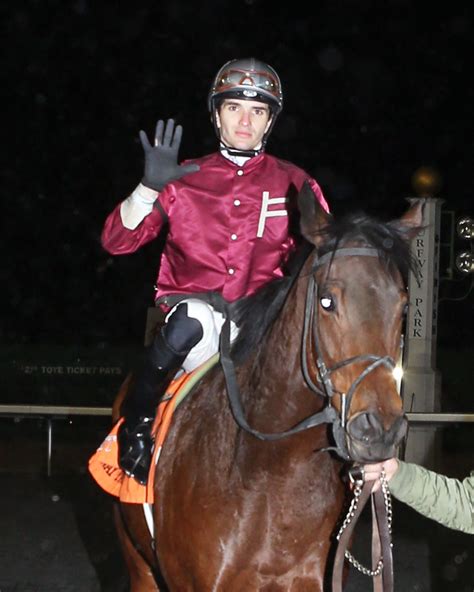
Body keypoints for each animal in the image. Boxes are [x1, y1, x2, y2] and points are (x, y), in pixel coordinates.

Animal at [113, 186, 424, 592]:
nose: (380, 429)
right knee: (186, 323)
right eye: (327, 300)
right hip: (139, 566)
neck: (272, 477)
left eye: (403, 306)